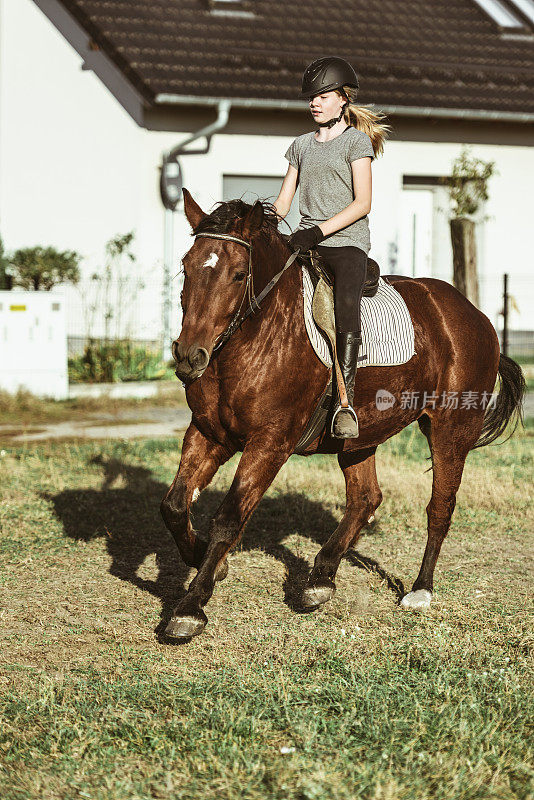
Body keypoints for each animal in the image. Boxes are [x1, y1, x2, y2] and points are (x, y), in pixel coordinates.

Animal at [160, 186, 528, 636]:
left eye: (237, 274)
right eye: (187, 267)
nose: (189, 356)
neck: (254, 338)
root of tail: (474, 315)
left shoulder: (269, 443)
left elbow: (229, 518)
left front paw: (190, 606)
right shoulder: (208, 432)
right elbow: (175, 504)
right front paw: (205, 562)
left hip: (450, 431)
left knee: (439, 508)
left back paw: (420, 590)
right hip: (360, 435)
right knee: (365, 499)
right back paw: (320, 579)